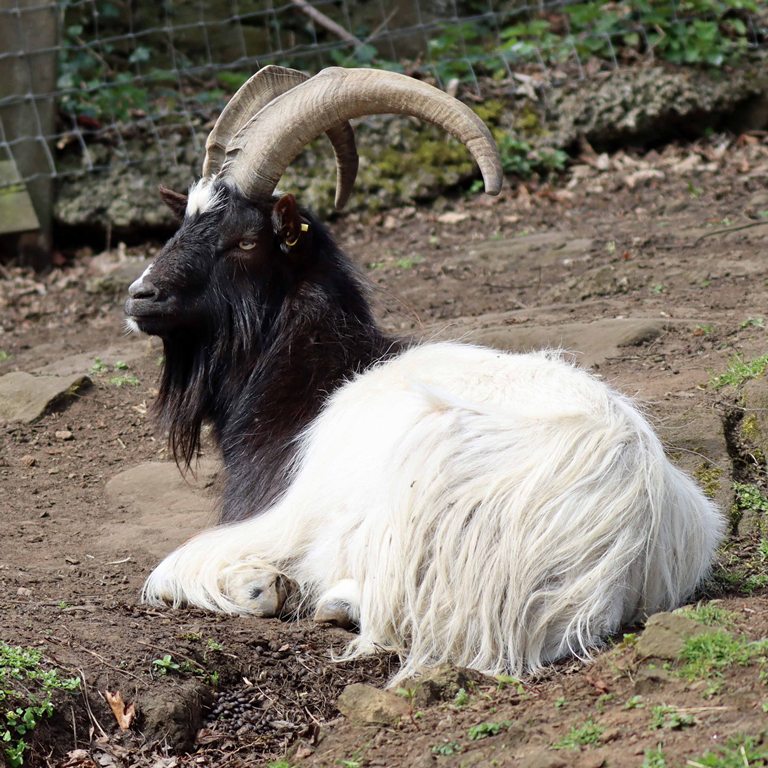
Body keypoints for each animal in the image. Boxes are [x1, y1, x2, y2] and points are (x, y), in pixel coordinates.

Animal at [126, 66, 724, 683]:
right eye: (182, 224)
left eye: (246, 240)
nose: (140, 295)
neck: (314, 379)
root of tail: (621, 529)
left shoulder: (276, 521)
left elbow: (170, 574)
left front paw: (261, 586)